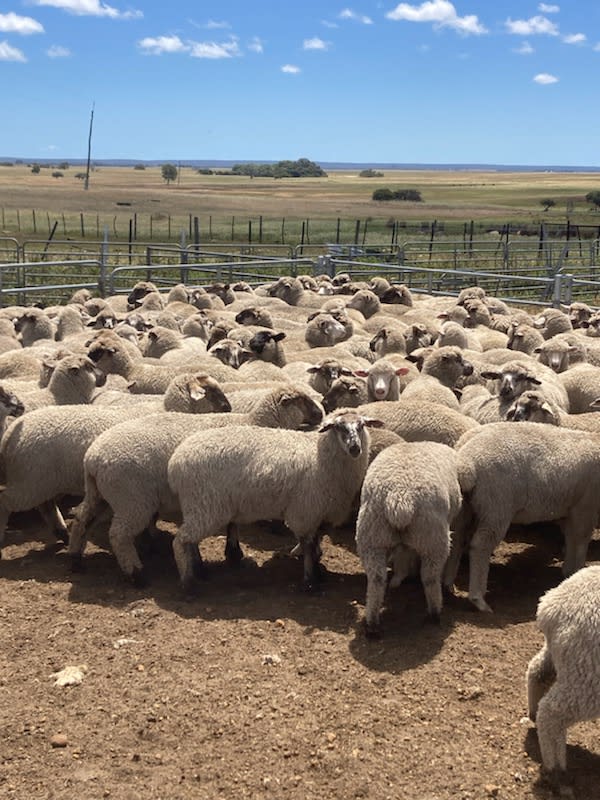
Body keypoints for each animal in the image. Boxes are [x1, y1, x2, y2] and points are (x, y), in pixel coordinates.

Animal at [68, 387, 326, 584]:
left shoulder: (226, 489)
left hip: (101, 495)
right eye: (302, 399)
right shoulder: (216, 491)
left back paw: (75, 559)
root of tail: (93, 459)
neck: (252, 422)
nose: (320, 415)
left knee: (81, 519)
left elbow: (232, 523)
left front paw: (231, 553)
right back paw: (136, 573)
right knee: (119, 535)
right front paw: (229, 555)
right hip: (132, 500)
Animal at [166, 410, 383, 593]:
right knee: (181, 540)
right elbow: (307, 544)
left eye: (361, 426)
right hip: (206, 505)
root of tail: (175, 462)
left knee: (190, 540)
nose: (355, 448)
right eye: (338, 427)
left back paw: (200, 569)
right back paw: (188, 582)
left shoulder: (322, 511)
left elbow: (316, 540)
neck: (321, 455)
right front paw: (310, 579)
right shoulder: (305, 510)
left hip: (198, 506)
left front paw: (317, 569)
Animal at [355, 441, 462, 637]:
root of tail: (400, 498)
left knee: (376, 579)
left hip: (372, 538)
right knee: (430, 577)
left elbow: (404, 553)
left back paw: (372, 623)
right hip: (432, 539)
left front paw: (399, 576)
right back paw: (435, 612)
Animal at [449, 422, 600, 612]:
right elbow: (581, 539)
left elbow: (570, 538)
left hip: (466, 506)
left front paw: (568, 571)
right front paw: (576, 571)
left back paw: (447, 585)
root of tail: (465, 462)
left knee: (456, 539)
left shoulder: (571, 507)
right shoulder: (586, 505)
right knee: (480, 546)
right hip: (497, 506)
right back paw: (478, 600)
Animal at [526, 565, 600, 779]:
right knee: (551, 713)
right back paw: (555, 768)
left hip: (562, 656)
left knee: (536, 671)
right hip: (587, 675)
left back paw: (532, 713)